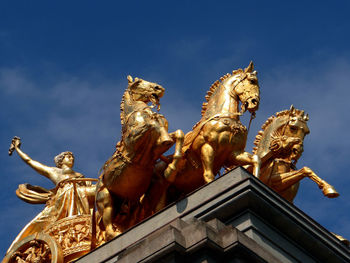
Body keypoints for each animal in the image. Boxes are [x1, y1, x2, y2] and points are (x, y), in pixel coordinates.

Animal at [95, 76, 183, 241]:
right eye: (138, 83)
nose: (159, 88)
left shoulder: (156, 149)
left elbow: (178, 134)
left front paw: (172, 168)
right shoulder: (135, 143)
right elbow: (151, 124)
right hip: (105, 199)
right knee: (108, 227)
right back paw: (116, 234)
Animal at [157, 62, 262, 200]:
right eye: (252, 80)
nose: (255, 103)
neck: (226, 118)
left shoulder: (234, 153)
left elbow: (256, 159)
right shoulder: (207, 146)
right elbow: (208, 176)